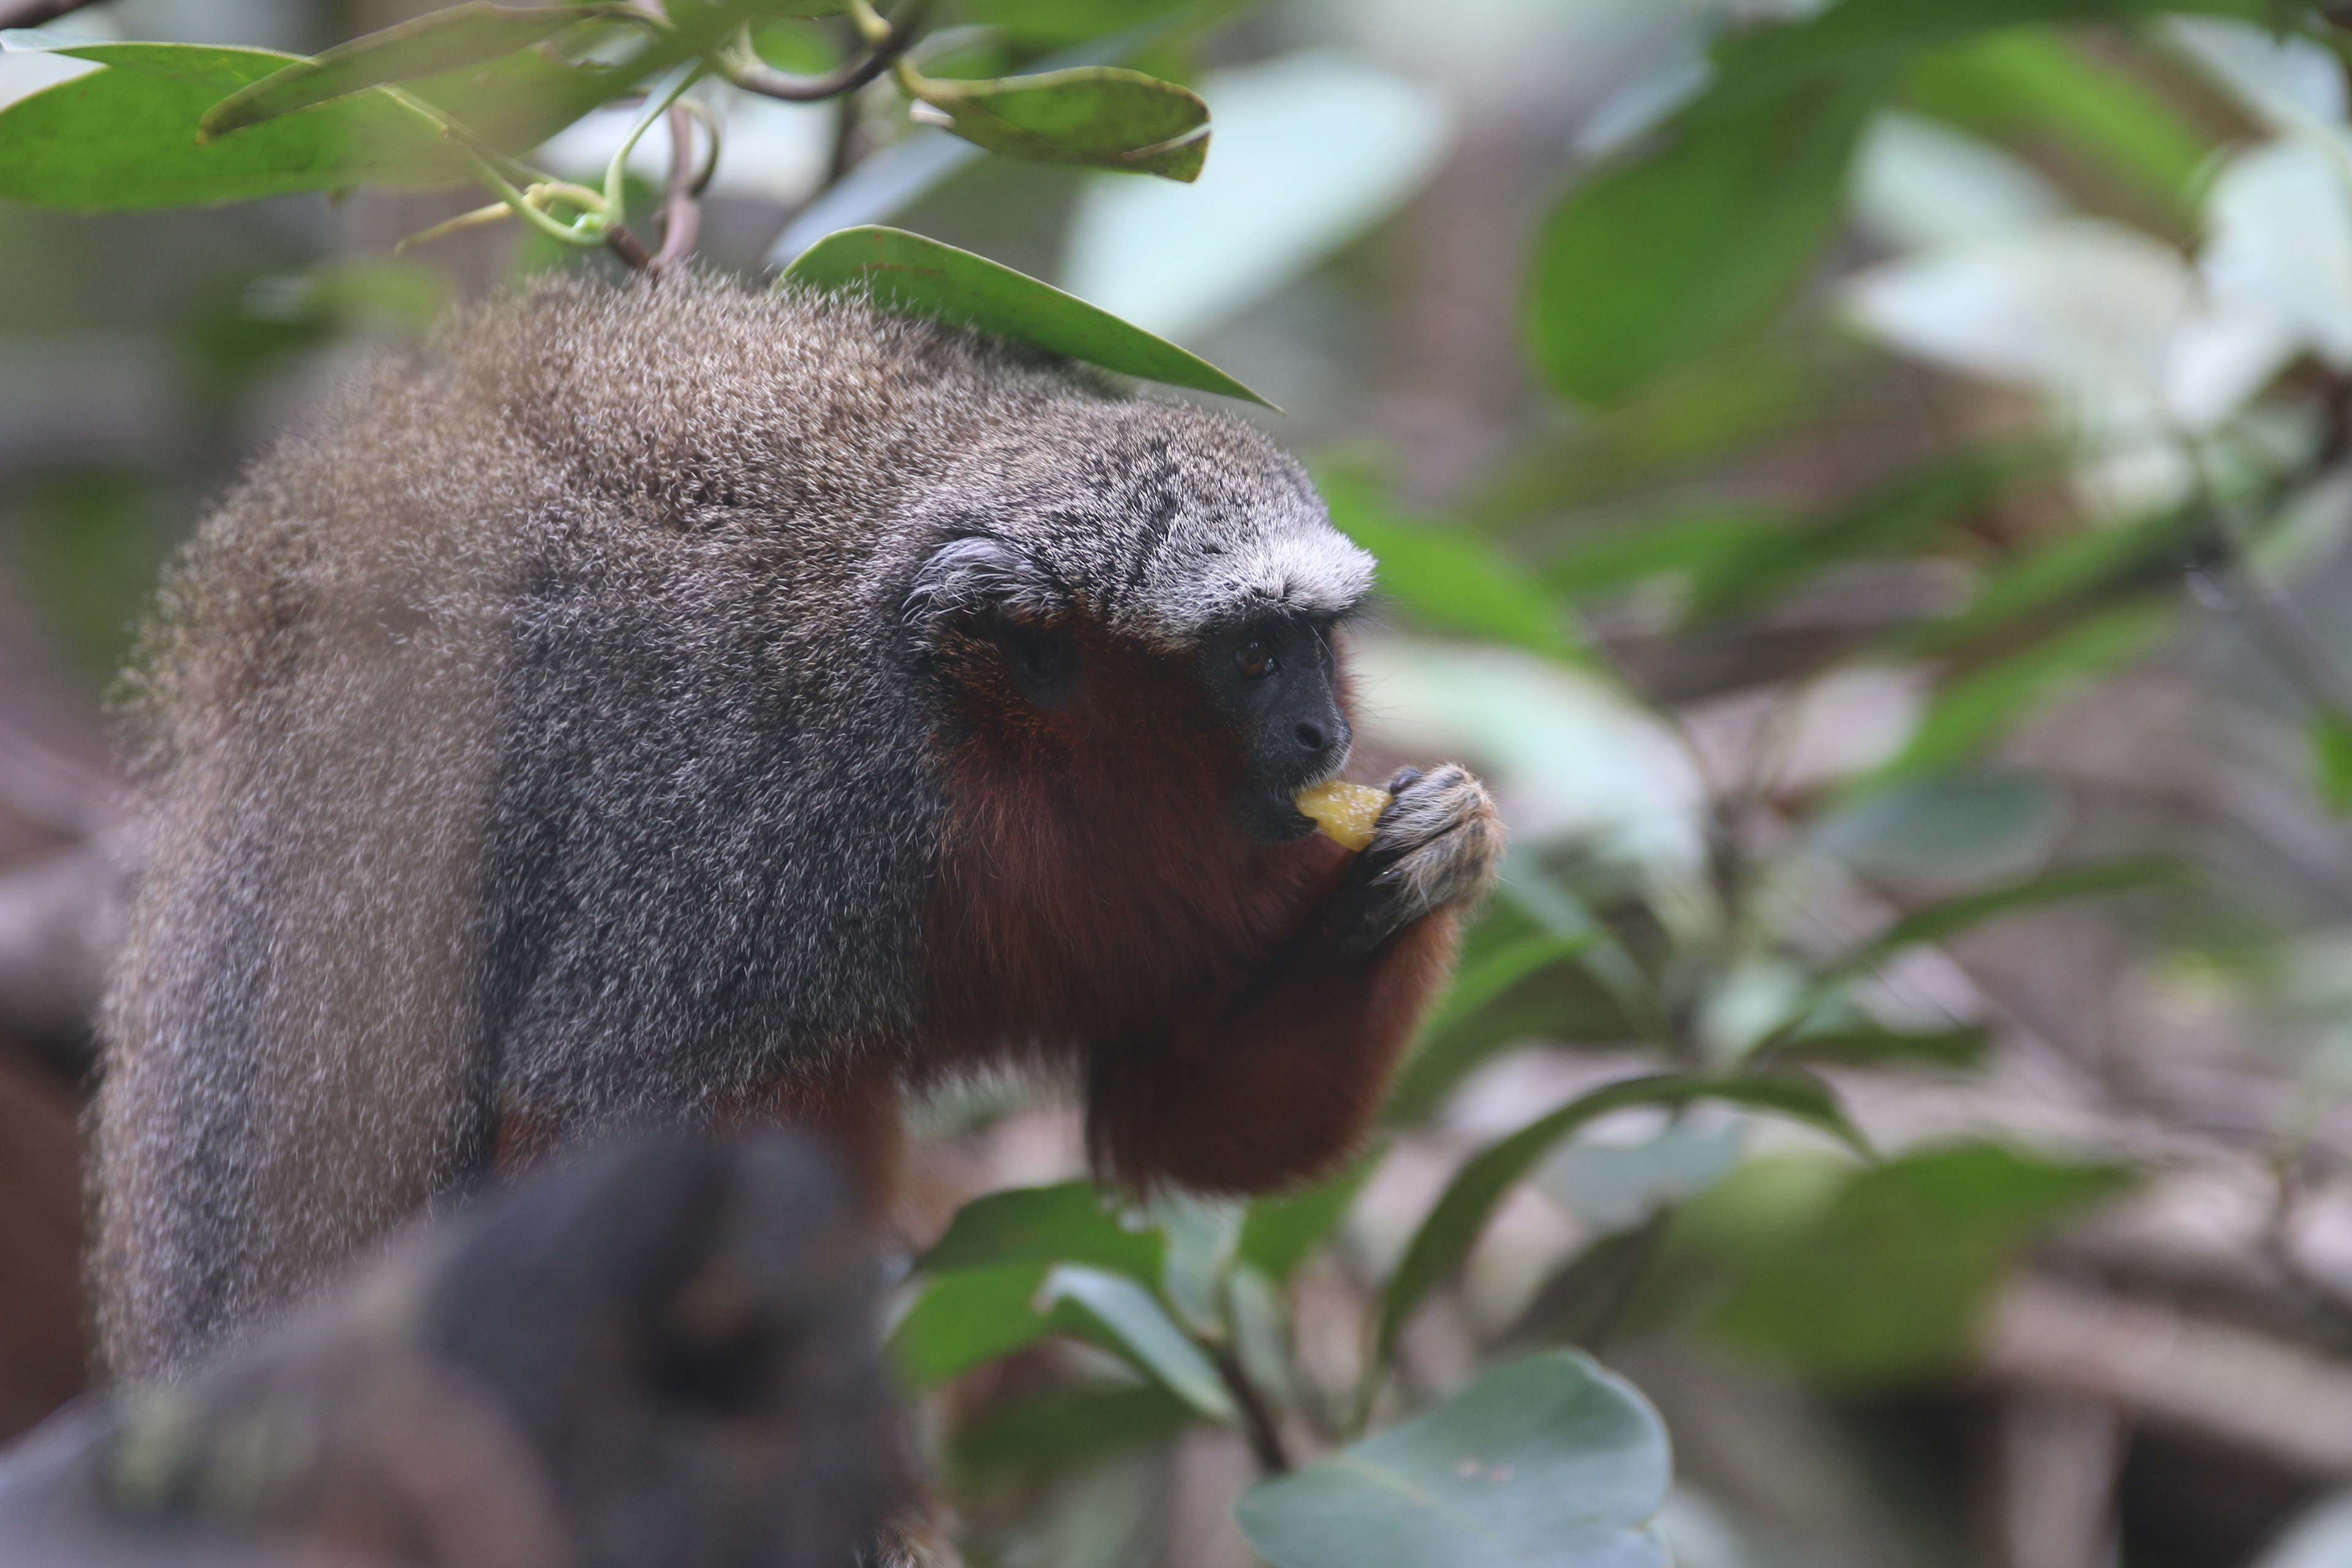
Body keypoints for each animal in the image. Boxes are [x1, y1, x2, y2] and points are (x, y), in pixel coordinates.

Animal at [90, 271, 1503, 1383]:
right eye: (1254, 662)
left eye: (1317, 644)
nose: (1324, 735)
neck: (962, 755)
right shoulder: (750, 843)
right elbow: (593, 1142)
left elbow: (1187, 1121)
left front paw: (1432, 851)